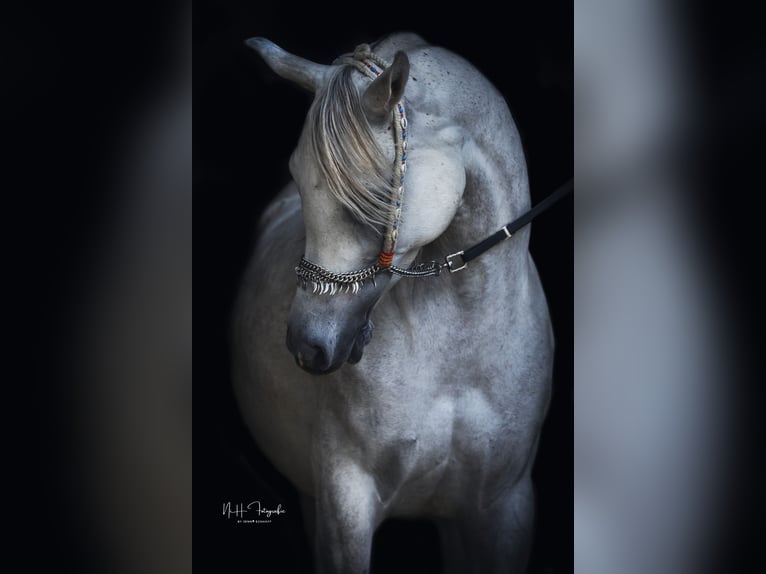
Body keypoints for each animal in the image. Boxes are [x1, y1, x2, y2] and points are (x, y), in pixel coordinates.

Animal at [232, 32, 554, 573]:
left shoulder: (503, 508)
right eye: (296, 177)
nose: (307, 347)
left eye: (371, 195)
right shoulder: (347, 502)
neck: (457, 348)